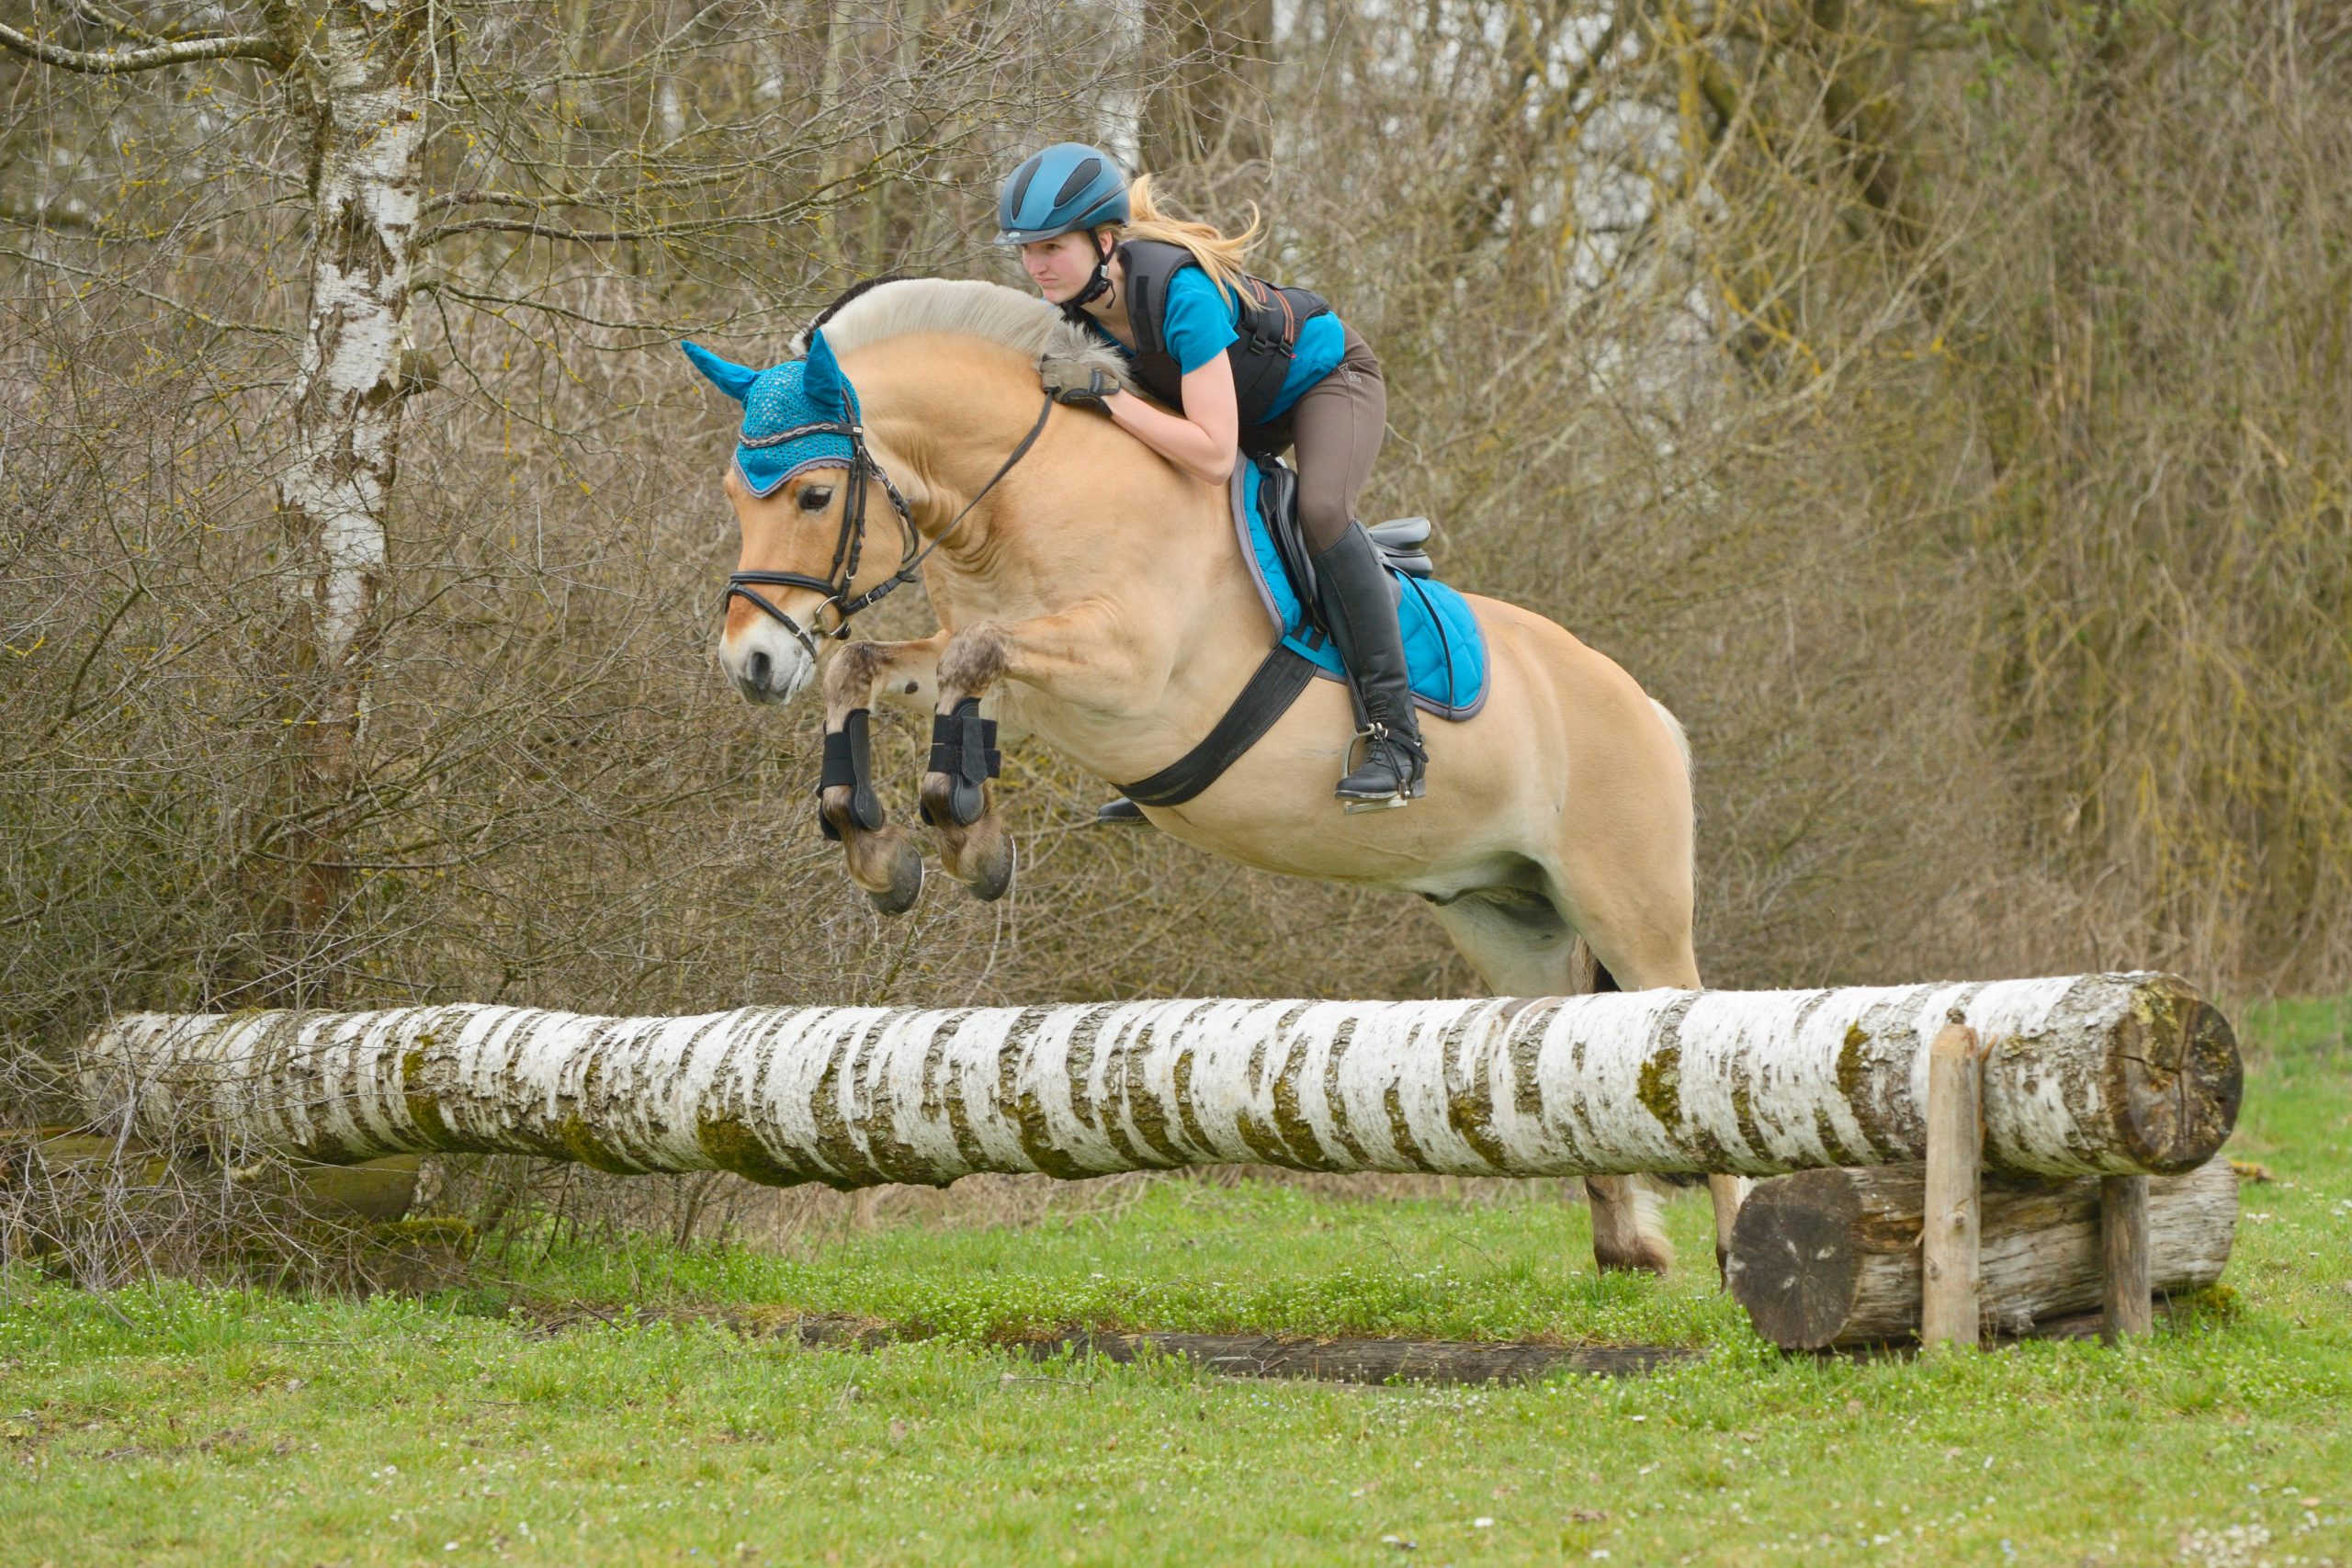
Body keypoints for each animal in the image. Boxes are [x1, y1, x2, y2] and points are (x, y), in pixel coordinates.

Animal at [688, 278, 1746, 1279]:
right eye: (735, 498)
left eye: (813, 499)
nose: (749, 665)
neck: (1029, 496)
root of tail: (1646, 709)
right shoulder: (1016, 686)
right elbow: (873, 667)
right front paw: (880, 846)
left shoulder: (1124, 670)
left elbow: (968, 658)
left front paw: (962, 831)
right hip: (1507, 920)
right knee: (1566, 1040)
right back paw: (1625, 1247)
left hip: (1630, 906)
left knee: (1680, 1029)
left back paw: (1737, 1254)